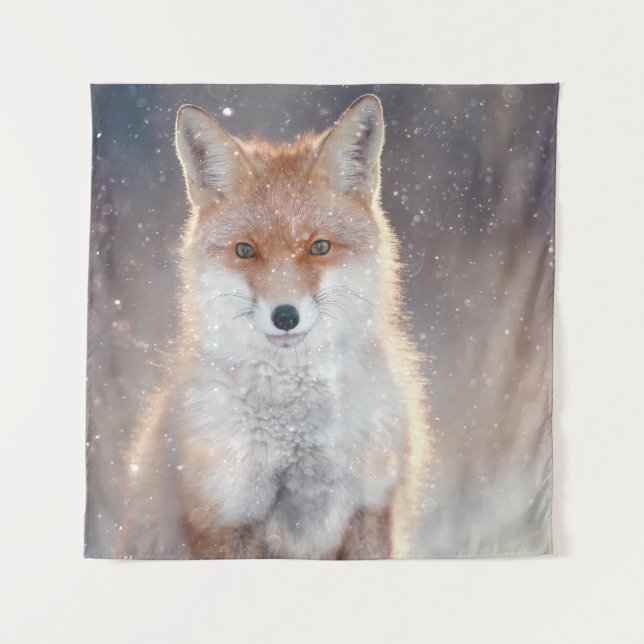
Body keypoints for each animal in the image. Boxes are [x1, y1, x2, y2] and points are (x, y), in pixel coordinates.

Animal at [117, 94, 431, 559]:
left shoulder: (372, 507)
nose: (285, 316)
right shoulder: (224, 516)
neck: (297, 435)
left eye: (319, 247)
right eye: (246, 251)